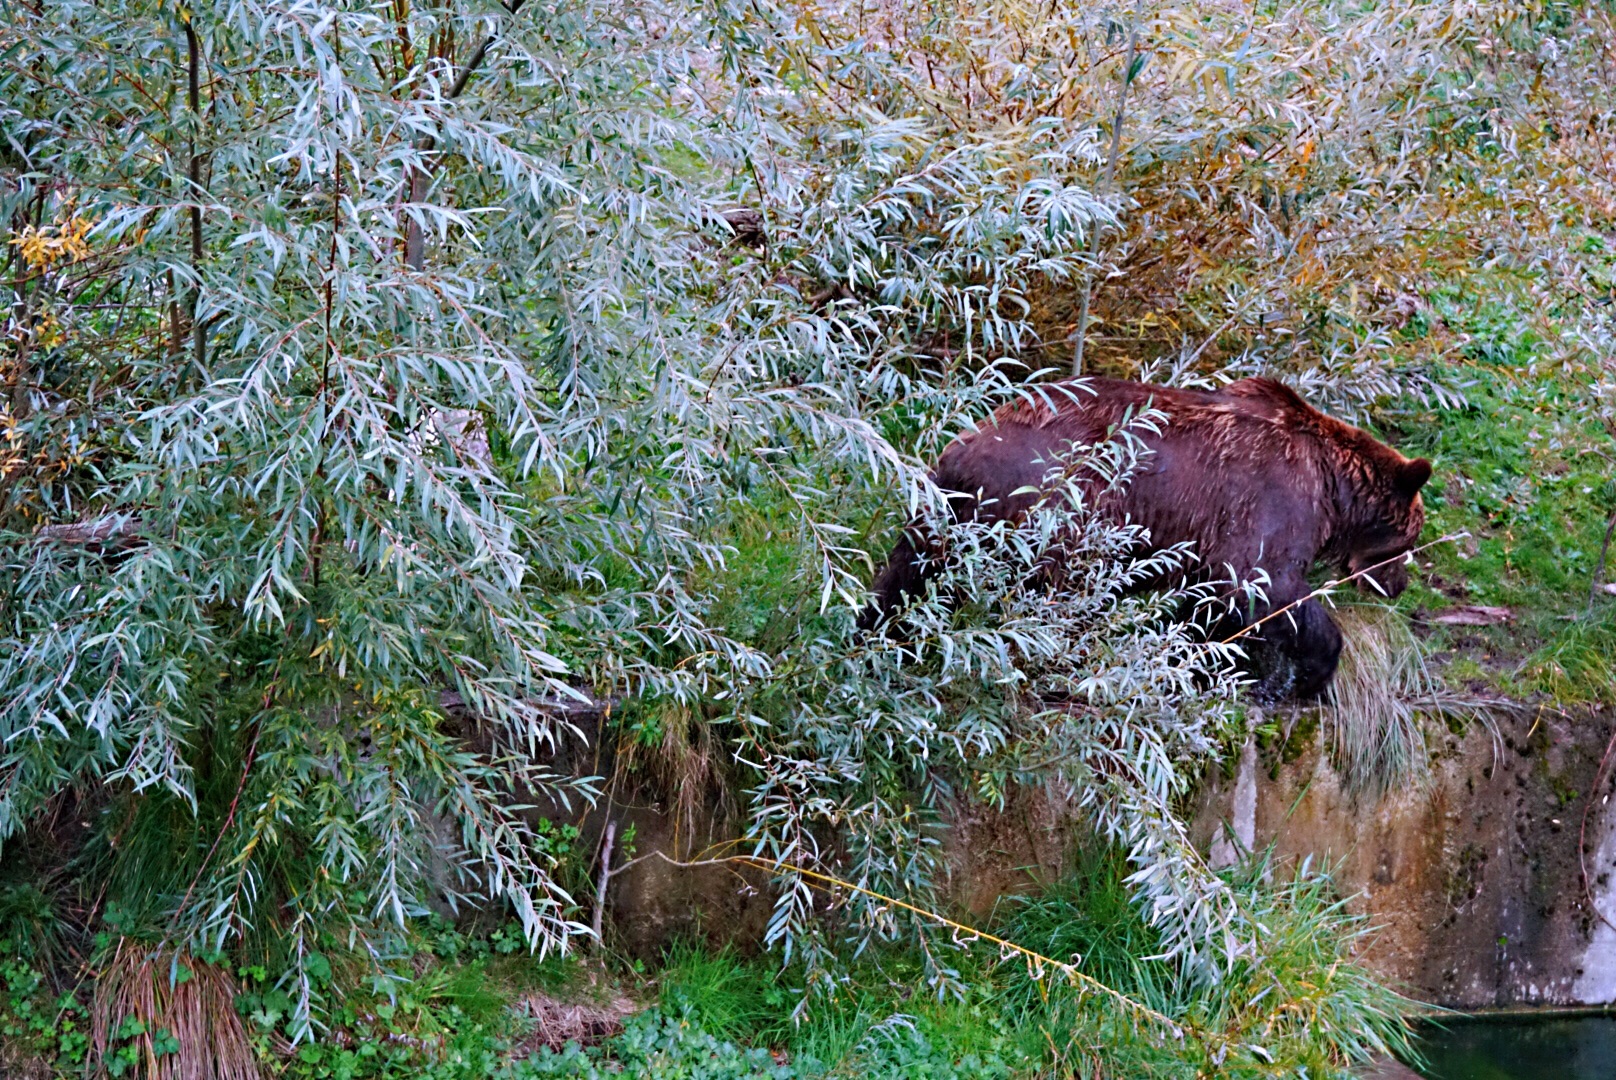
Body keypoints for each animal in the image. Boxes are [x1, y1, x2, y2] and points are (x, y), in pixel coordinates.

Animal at [866, 379, 1435, 701]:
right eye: (1411, 539)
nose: (1399, 584)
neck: (1334, 489)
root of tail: (965, 447)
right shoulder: (1270, 498)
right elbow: (1260, 584)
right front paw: (1307, 676)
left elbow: (1208, 608)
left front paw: (1207, 668)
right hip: (1058, 507)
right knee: (1048, 590)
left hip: (941, 513)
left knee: (904, 575)